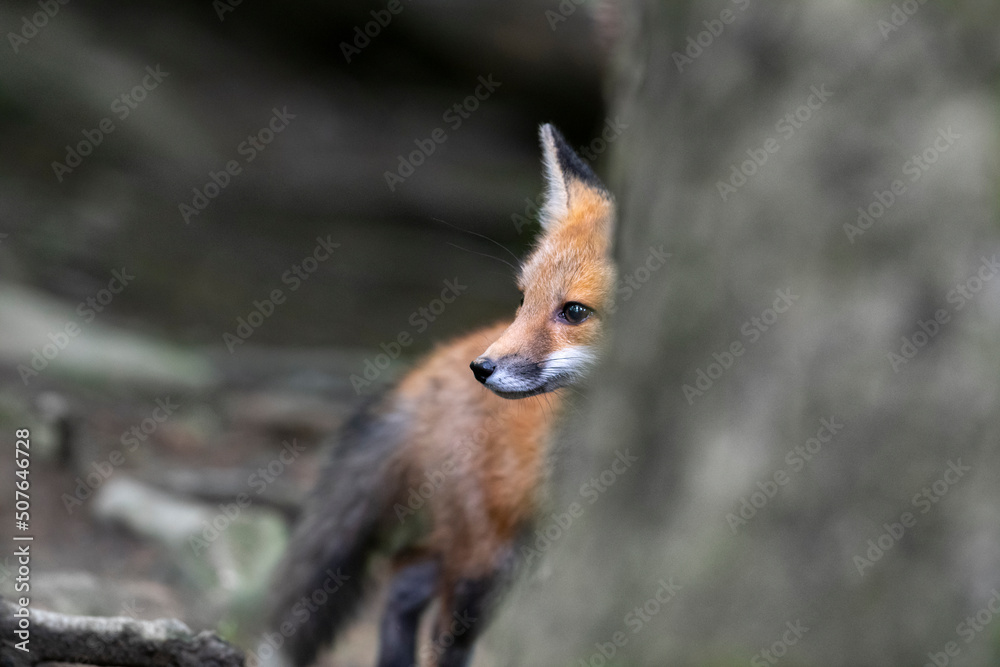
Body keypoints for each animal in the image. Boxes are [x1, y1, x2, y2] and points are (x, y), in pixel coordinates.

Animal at [267, 123, 617, 667]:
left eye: (576, 311)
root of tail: (443, 356)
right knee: (424, 603)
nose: (482, 368)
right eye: (523, 299)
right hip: (488, 558)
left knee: (404, 572)